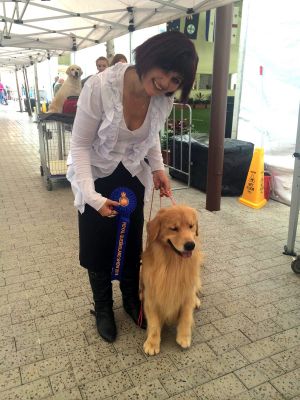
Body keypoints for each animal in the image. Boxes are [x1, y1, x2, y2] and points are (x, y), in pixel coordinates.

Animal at [140, 205, 202, 354]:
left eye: (191, 226)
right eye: (174, 228)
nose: (190, 245)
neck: (173, 263)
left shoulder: (186, 293)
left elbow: (186, 317)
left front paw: (184, 337)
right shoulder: (152, 296)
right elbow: (154, 323)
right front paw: (152, 342)